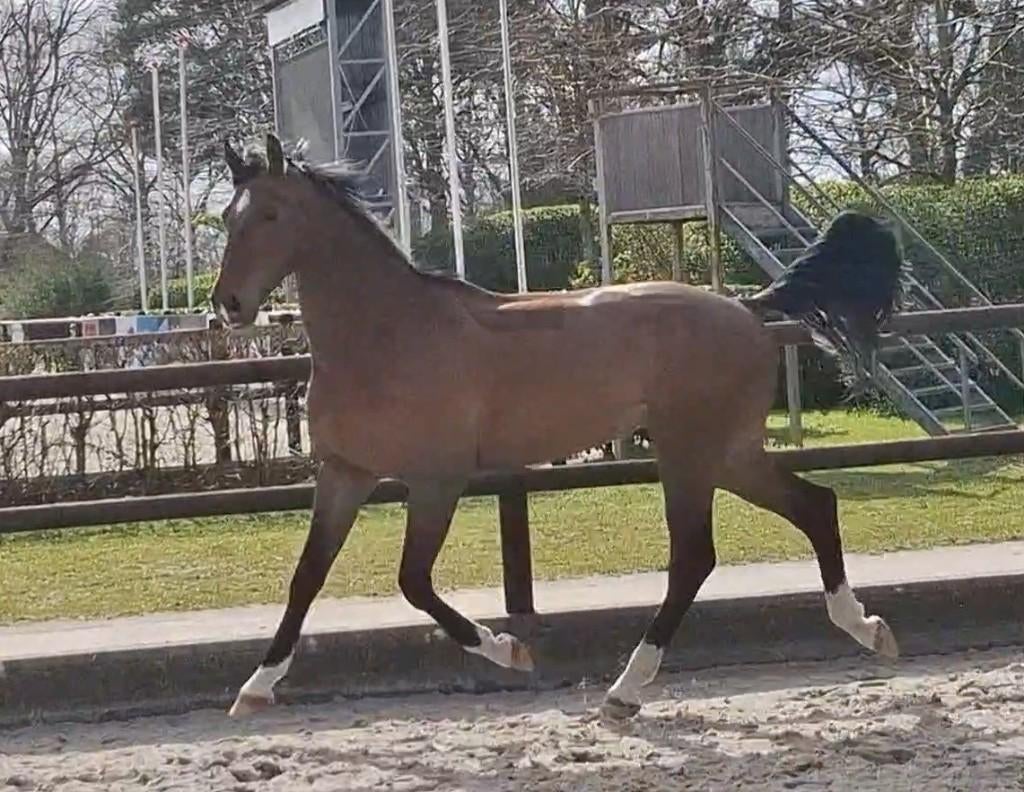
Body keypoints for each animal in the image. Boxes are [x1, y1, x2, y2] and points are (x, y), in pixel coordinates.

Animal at [213, 133, 904, 720]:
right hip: (729, 452)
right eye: (226, 217)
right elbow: (307, 576)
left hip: (691, 453)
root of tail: (746, 308)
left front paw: (509, 651)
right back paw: (868, 630)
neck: (387, 334)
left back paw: (625, 691)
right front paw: (254, 688)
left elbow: (413, 581)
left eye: (271, 215)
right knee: (815, 506)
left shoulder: (436, 478)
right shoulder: (344, 472)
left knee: (694, 557)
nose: (228, 306)